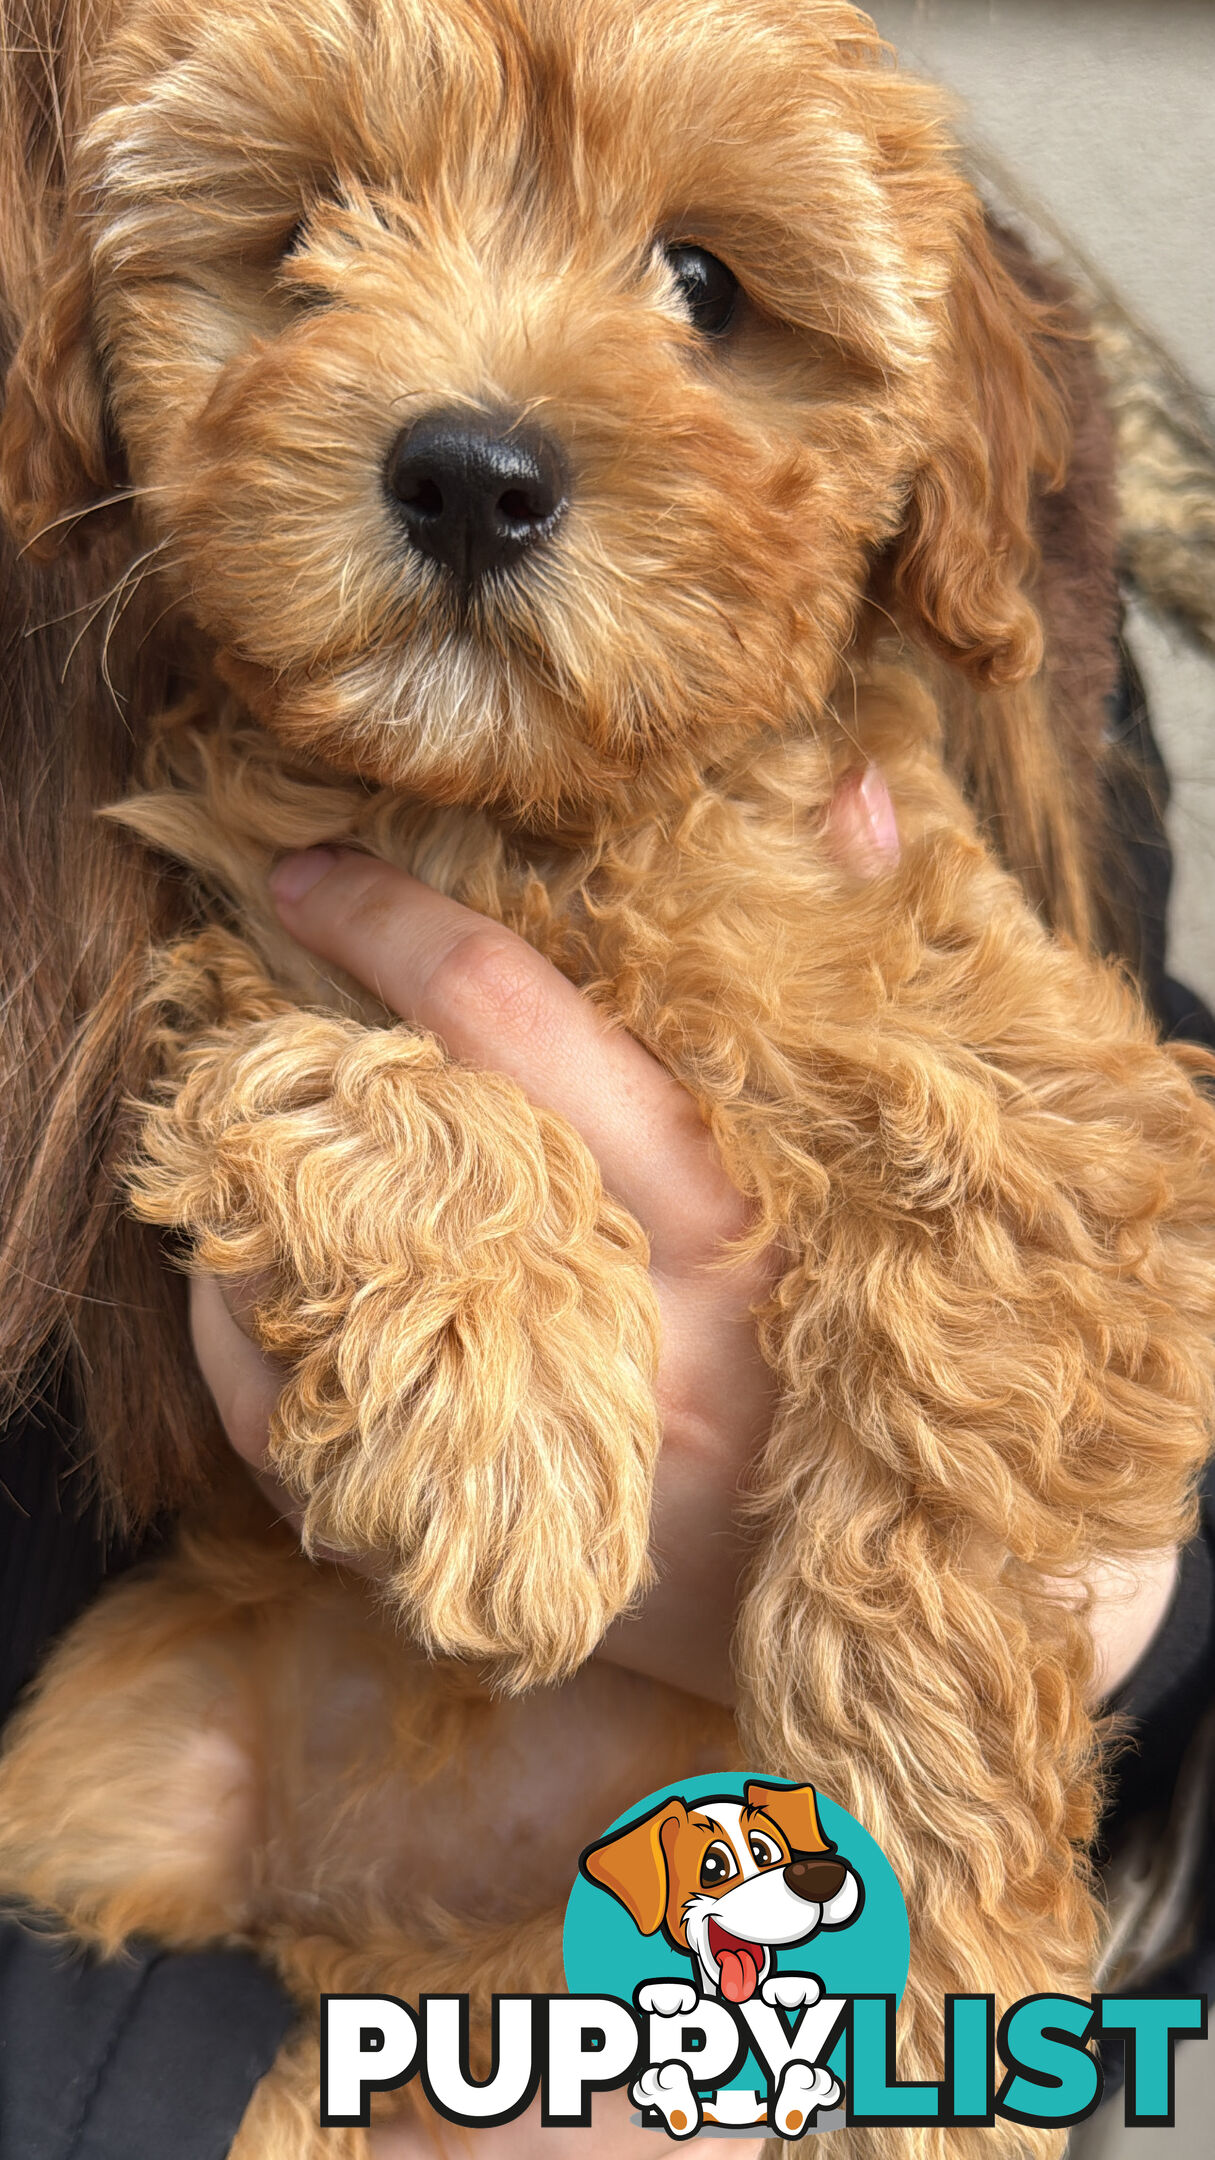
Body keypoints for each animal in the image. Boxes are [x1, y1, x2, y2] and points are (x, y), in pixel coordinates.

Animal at [2, 4, 1210, 2160]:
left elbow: (951, 1425)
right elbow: (343, 1074)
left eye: (707, 285)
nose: (470, 476)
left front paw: (931, 1945)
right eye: (307, 233)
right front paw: (501, 1423)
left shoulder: (1073, 1110)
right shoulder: (231, 940)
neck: (551, 823)